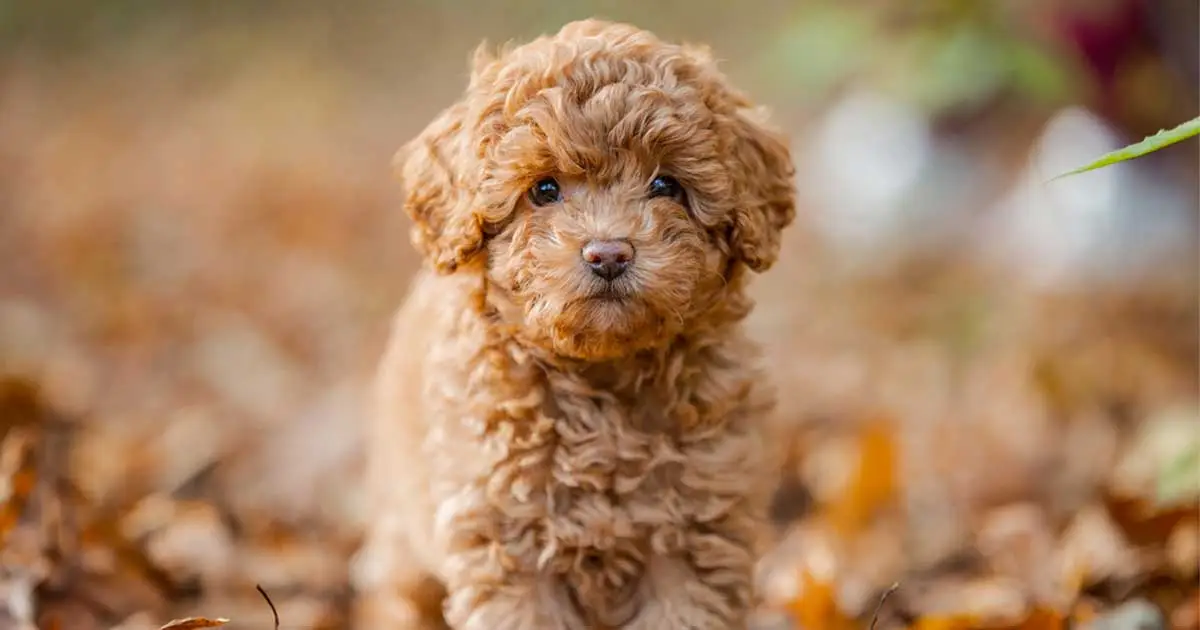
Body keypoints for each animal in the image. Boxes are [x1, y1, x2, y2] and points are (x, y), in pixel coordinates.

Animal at [350, 19, 792, 628]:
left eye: (666, 185)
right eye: (544, 189)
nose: (608, 253)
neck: (601, 382)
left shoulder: (694, 530)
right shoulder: (506, 533)